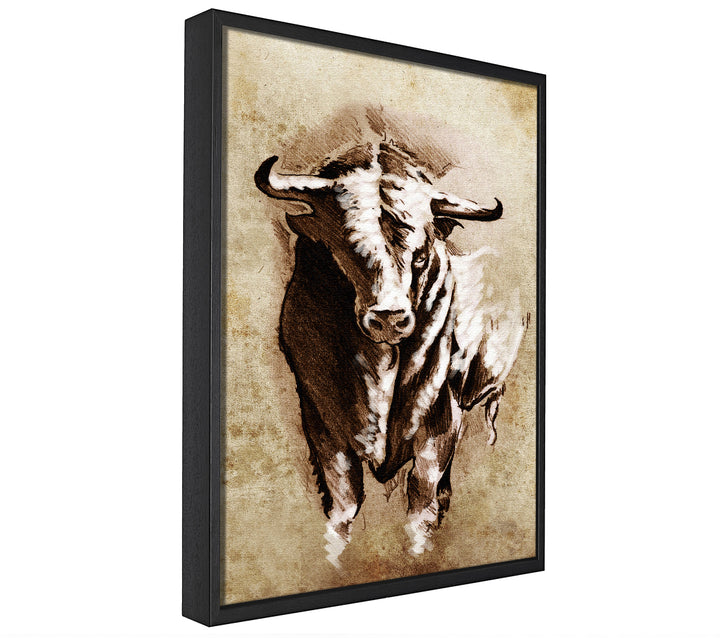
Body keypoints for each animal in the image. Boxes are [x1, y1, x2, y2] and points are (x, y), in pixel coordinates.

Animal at [255, 140, 524, 566]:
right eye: (346, 249)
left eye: (420, 255)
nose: (389, 319)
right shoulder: (320, 418)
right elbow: (343, 502)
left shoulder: (441, 417)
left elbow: (421, 501)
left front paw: (419, 551)